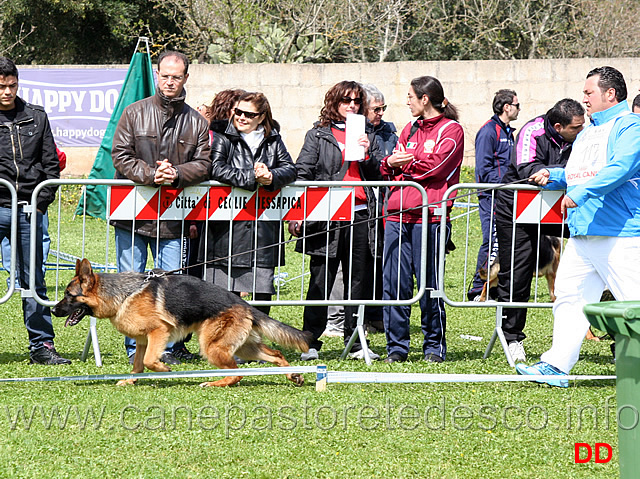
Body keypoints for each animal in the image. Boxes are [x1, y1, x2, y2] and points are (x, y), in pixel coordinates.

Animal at [54, 260, 312, 388]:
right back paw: (293, 375)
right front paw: (132, 380)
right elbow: (137, 365)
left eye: (69, 295)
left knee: (237, 373)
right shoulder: (142, 341)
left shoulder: (159, 331)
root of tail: (243, 303)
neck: (124, 293)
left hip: (212, 347)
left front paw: (164, 369)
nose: (54, 310)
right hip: (244, 347)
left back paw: (214, 383)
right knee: (276, 355)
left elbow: (149, 361)